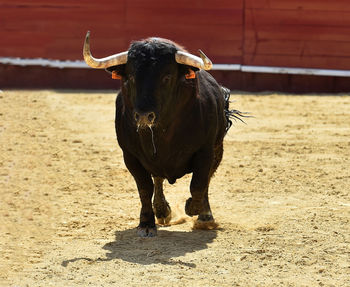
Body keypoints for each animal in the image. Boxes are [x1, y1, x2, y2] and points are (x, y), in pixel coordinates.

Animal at [83, 33, 245, 238]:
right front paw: (146, 223)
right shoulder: (130, 155)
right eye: (131, 77)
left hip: (217, 150)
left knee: (206, 180)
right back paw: (161, 211)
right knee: (158, 179)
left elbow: (199, 183)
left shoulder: (205, 151)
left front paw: (193, 209)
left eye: (167, 77)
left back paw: (205, 216)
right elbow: (144, 187)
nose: (144, 115)